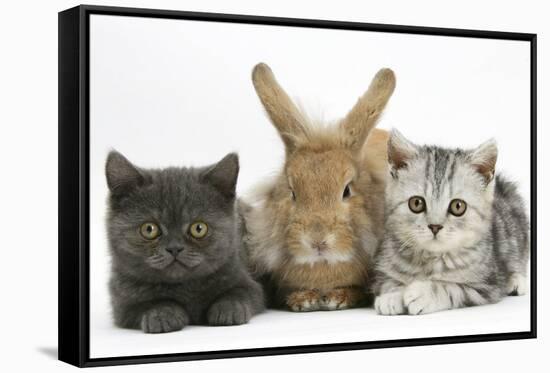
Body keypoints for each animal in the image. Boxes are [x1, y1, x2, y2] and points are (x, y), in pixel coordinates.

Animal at [106, 150, 266, 332]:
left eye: (199, 228)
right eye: (149, 229)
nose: (174, 248)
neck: (185, 287)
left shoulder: (247, 281)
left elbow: (240, 293)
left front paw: (228, 310)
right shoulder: (121, 304)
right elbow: (148, 304)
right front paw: (163, 315)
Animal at [376, 130, 532, 314]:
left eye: (458, 206)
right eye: (416, 203)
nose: (435, 226)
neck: (431, 259)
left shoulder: (485, 286)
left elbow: (450, 288)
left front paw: (423, 293)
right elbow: (389, 281)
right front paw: (392, 295)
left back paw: (516, 281)